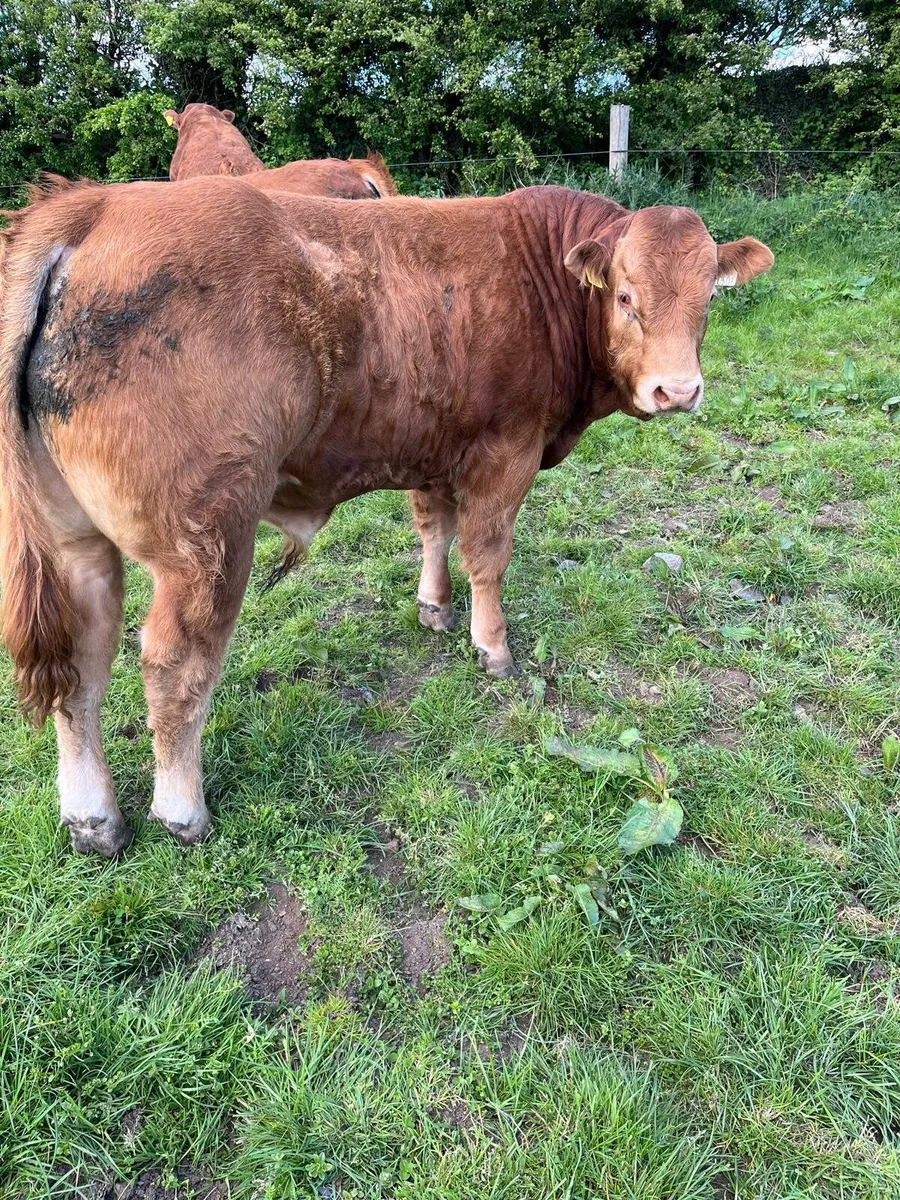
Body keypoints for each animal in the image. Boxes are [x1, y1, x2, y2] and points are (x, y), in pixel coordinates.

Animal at [0, 176, 773, 856]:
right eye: (626, 295)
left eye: (709, 294)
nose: (678, 390)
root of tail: (95, 207)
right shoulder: (507, 449)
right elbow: (487, 553)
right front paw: (491, 644)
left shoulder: (433, 450)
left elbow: (435, 529)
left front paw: (434, 606)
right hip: (207, 540)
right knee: (175, 665)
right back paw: (182, 810)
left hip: (75, 542)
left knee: (80, 665)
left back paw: (94, 819)